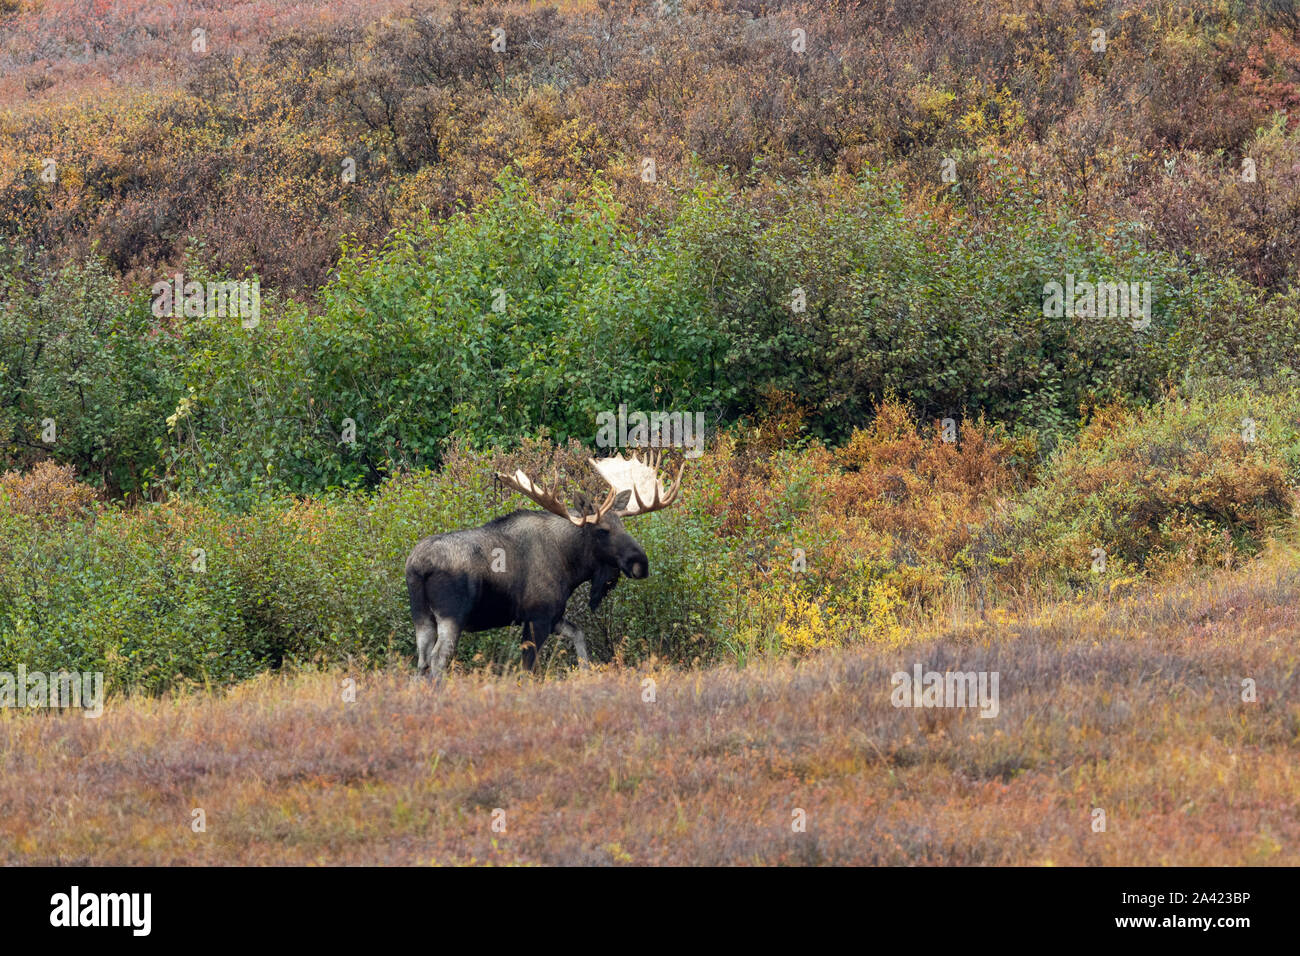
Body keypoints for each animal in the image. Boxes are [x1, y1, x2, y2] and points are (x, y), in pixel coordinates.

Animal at [405, 449, 685, 678]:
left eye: (623, 525)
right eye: (602, 530)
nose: (640, 563)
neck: (571, 567)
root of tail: (418, 566)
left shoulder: (554, 615)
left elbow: (579, 636)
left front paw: (586, 673)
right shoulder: (538, 615)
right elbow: (528, 668)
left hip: (422, 615)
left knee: (422, 660)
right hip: (452, 615)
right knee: (438, 659)